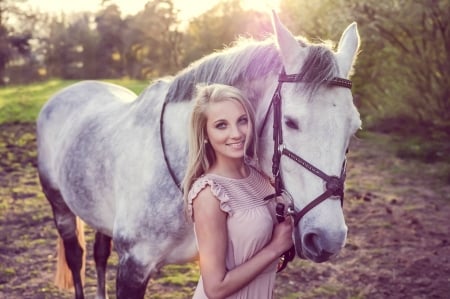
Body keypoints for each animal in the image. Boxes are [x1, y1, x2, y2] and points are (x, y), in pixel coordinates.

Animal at [37, 11, 362, 299]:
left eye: (354, 128)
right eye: (291, 122)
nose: (327, 238)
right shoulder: (134, 267)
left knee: (99, 253)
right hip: (59, 206)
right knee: (75, 256)